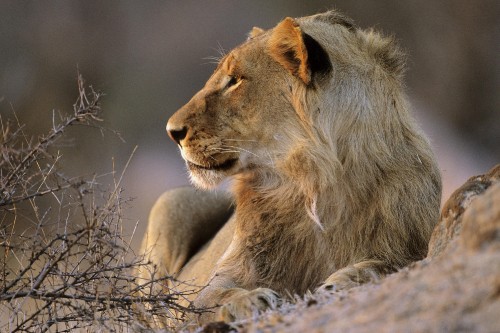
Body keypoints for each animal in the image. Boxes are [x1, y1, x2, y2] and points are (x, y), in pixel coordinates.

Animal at [140, 9, 442, 324]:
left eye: (234, 80)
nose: (171, 131)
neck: (314, 182)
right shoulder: (220, 280)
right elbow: (212, 298)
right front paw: (250, 300)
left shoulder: (412, 244)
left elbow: (388, 264)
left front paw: (345, 279)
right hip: (172, 201)